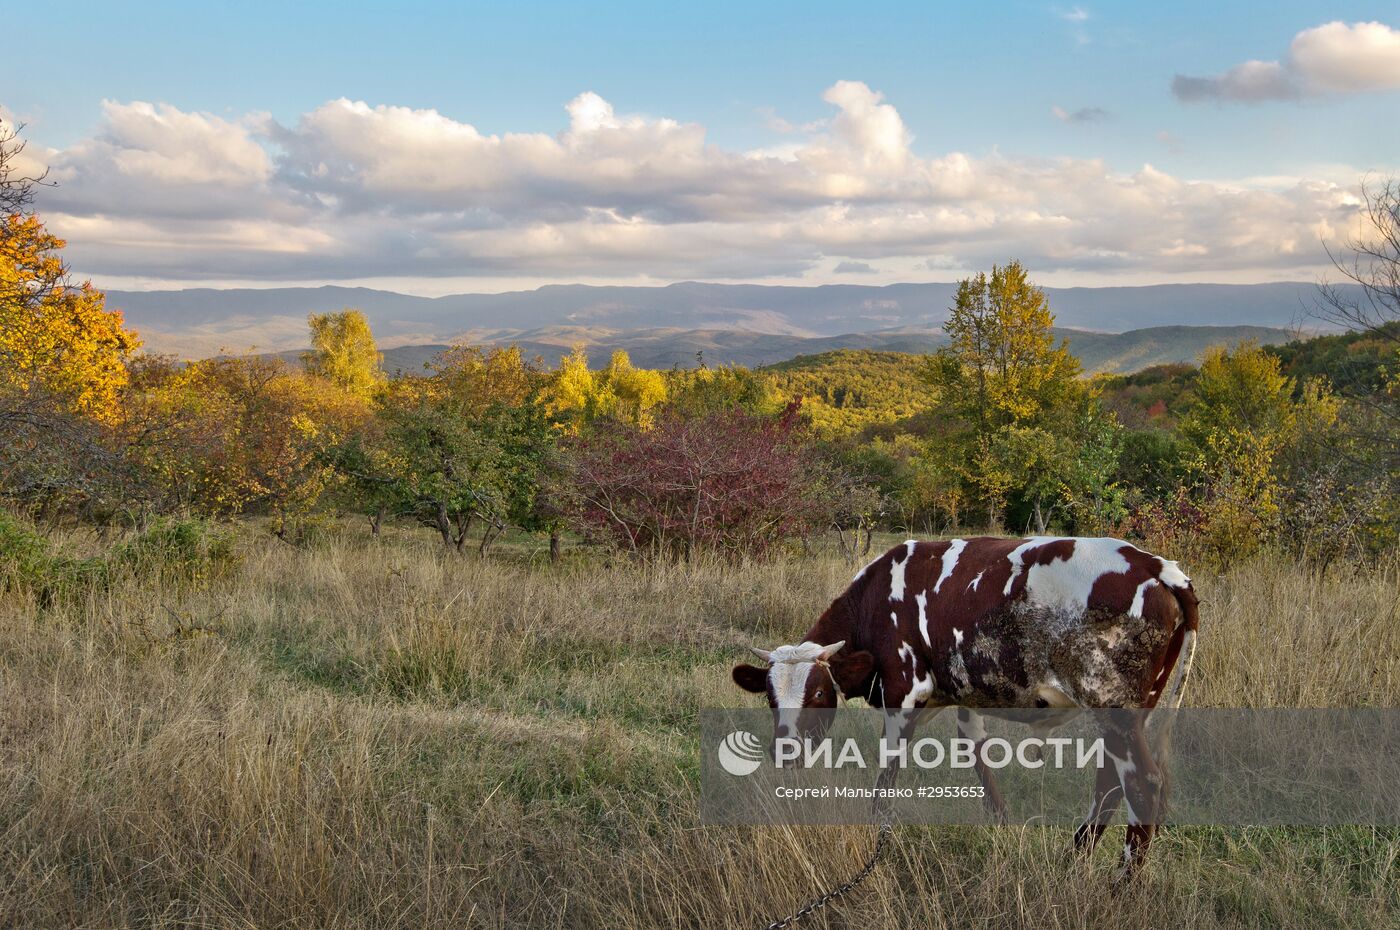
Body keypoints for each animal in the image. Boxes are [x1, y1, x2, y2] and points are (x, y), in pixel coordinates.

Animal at [733, 537, 1204, 873]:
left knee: (1141, 784)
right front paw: (1000, 824)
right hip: (1130, 710)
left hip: (1112, 706)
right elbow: (977, 757)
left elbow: (885, 781)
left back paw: (1119, 887)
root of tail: (1154, 564)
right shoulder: (965, 695)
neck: (876, 597)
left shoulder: (905, 691)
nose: (784, 750)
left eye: (817, 694)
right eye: (770, 697)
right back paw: (1073, 860)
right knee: (1109, 783)